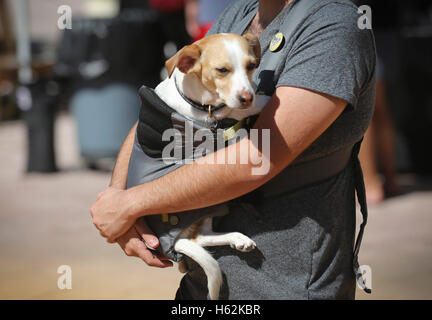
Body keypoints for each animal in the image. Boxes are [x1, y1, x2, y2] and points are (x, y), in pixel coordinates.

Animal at [150, 33, 264, 298]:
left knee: (200, 238)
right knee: (197, 239)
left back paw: (238, 239)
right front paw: (264, 99)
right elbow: (238, 107)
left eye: (251, 66)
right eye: (222, 70)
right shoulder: (221, 112)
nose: (247, 97)